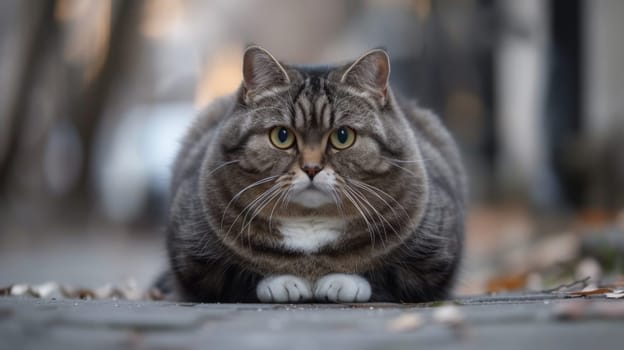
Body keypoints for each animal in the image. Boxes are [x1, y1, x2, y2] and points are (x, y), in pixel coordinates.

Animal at [157, 45, 468, 304]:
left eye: (343, 136)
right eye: (282, 136)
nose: (311, 168)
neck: (310, 224)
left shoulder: (433, 262)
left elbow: (388, 275)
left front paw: (339, 282)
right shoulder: (193, 262)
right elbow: (237, 277)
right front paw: (285, 283)